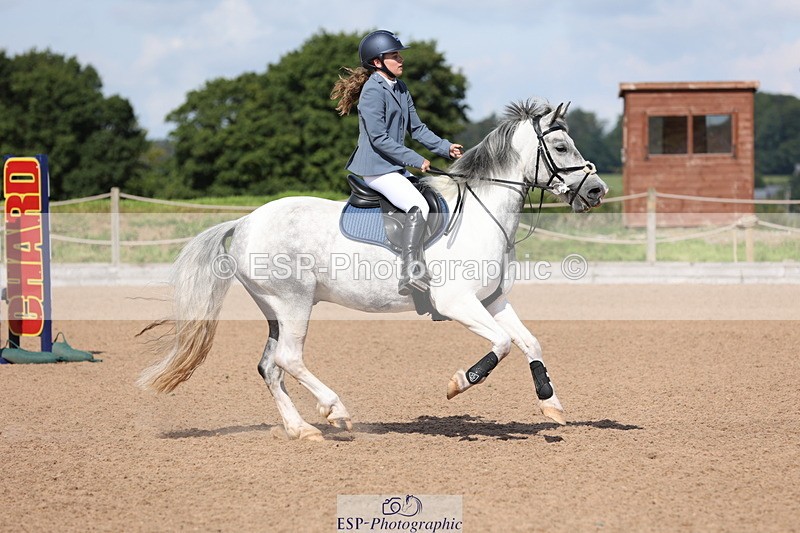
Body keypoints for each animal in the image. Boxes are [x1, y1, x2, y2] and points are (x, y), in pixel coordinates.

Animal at [137, 98, 608, 441]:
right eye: (561, 148)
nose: (597, 190)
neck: (480, 212)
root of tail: (245, 220)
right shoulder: (457, 302)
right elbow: (503, 344)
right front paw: (460, 382)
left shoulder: (491, 300)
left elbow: (529, 341)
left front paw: (550, 403)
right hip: (293, 303)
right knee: (289, 358)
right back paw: (336, 411)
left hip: (275, 309)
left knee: (270, 366)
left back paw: (301, 430)